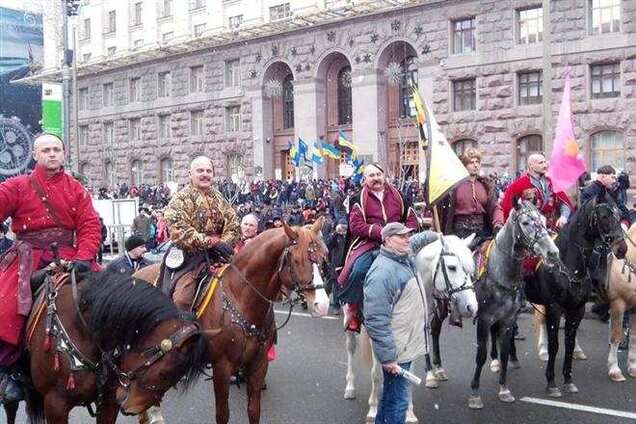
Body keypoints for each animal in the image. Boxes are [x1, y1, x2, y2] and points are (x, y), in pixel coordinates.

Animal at [136, 219, 330, 424]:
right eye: (297, 259)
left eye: (323, 257)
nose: (323, 305)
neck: (241, 298)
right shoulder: (222, 367)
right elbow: (223, 414)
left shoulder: (259, 364)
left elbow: (254, 410)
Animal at [342, 234, 476, 422]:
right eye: (452, 267)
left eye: (470, 269)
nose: (472, 307)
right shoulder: (378, 334)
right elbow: (376, 375)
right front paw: (373, 409)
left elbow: (407, 374)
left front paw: (409, 413)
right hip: (349, 320)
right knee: (350, 348)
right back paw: (350, 387)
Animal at [464, 198, 560, 408]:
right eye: (525, 222)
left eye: (543, 220)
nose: (552, 253)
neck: (499, 271)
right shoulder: (483, 319)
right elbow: (480, 355)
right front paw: (474, 393)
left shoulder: (507, 319)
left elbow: (505, 353)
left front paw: (504, 389)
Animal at [520, 194, 628, 400]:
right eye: (604, 216)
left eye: (619, 214)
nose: (622, 249)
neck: (568, 264)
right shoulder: (554, 308)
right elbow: (555, 346)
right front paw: (552, 383)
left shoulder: (577, 309)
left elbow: (569, 344)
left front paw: (568, 380)